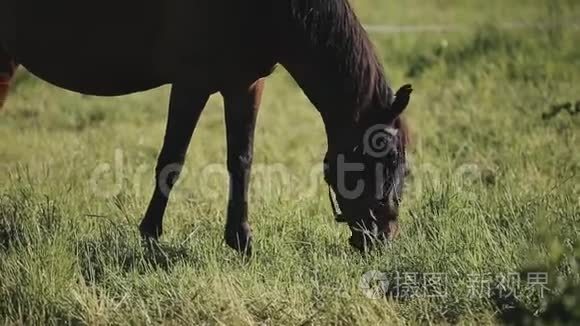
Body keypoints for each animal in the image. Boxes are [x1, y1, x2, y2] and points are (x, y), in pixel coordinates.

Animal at [0, 0, 412, 252]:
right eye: (386, 155)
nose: (384, 238)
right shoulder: (191, 82)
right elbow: (172, 159)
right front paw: (150, 235)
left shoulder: (245, 83)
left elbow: (241, 159)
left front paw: (240, 239)